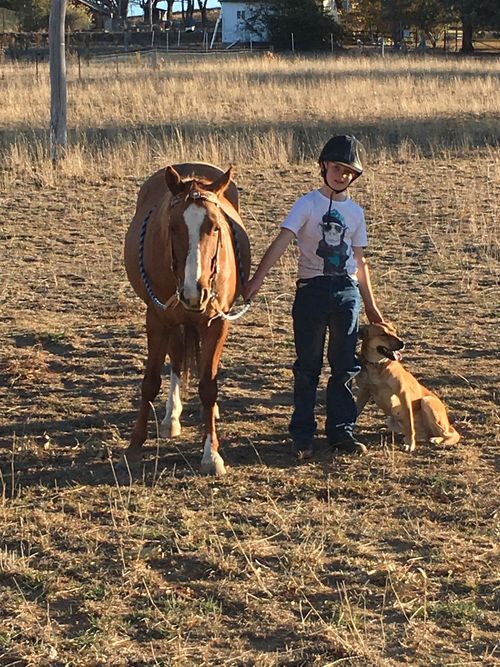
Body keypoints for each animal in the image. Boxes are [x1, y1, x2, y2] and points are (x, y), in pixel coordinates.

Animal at [123, 162, 252, 474]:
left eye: (215, 226)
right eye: (173, 227)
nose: (195, 291)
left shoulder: (217, 323)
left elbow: (208, 386)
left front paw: (211, 454)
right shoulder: (157, 318)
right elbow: (150, 381)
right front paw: (134, 446)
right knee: (178, 358)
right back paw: (171, 417)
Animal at [356, 322, 460, 452]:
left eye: (394, 331)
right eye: (383, 334)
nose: (402, 343)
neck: (377, 366)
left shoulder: (403, 394)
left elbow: (409, 424)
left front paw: (410, 444)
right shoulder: (364, 392)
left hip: (427, 402)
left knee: (448, 435)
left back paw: (435, 439)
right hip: (391, 420)